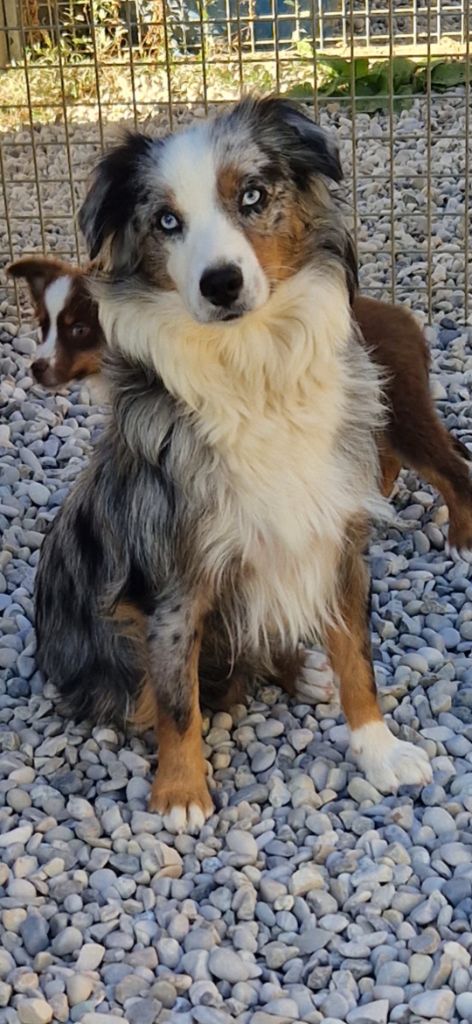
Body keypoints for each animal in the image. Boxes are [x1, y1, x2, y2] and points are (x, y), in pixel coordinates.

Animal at [10, 251, 470, 548]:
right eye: (44, 325)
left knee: (450, 469)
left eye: (79, 330)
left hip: (402, 409)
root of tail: (409, 321)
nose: (36, 368)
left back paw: (459, 540)